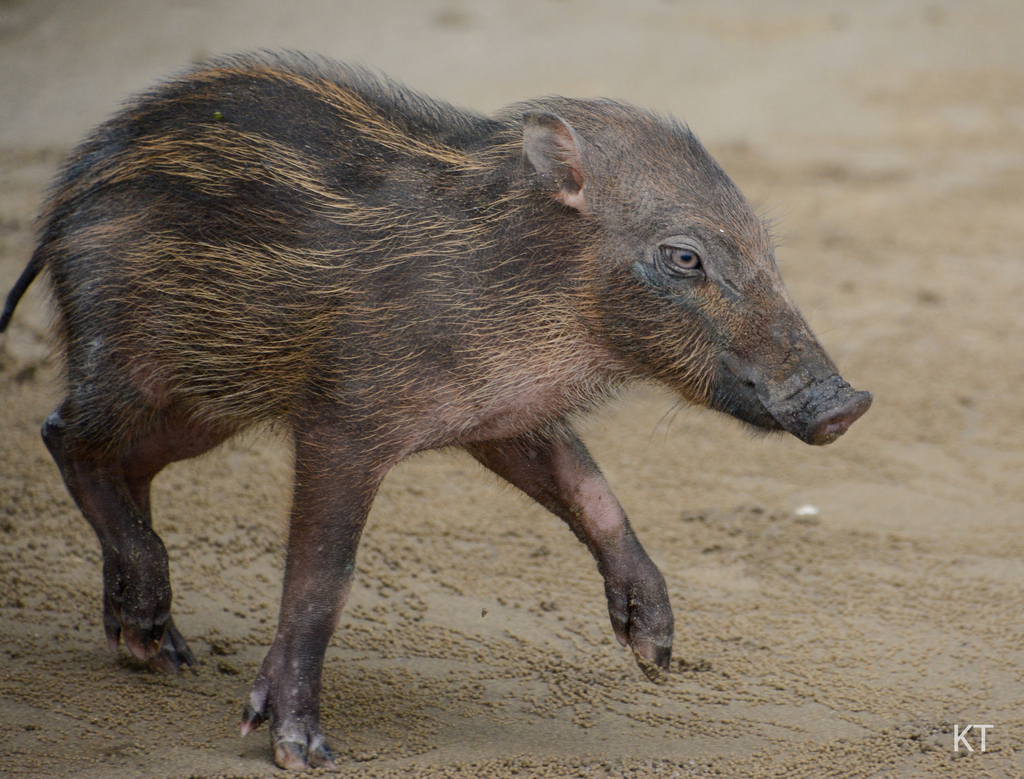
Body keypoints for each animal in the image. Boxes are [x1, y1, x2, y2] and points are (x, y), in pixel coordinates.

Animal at [0, 53, 871, 770]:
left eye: (765, 244)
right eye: (683, 256)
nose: (846, 404)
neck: (547, 301)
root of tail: (60, 208)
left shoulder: (502, 416)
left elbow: (588, 487)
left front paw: (653, 644)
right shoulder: (345, 424)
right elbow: (321, 581)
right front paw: (299, 747)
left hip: (209, 400)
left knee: (129, 465)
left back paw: (159, 648)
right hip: (139, 369)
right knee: (65, 437)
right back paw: (153, 631)